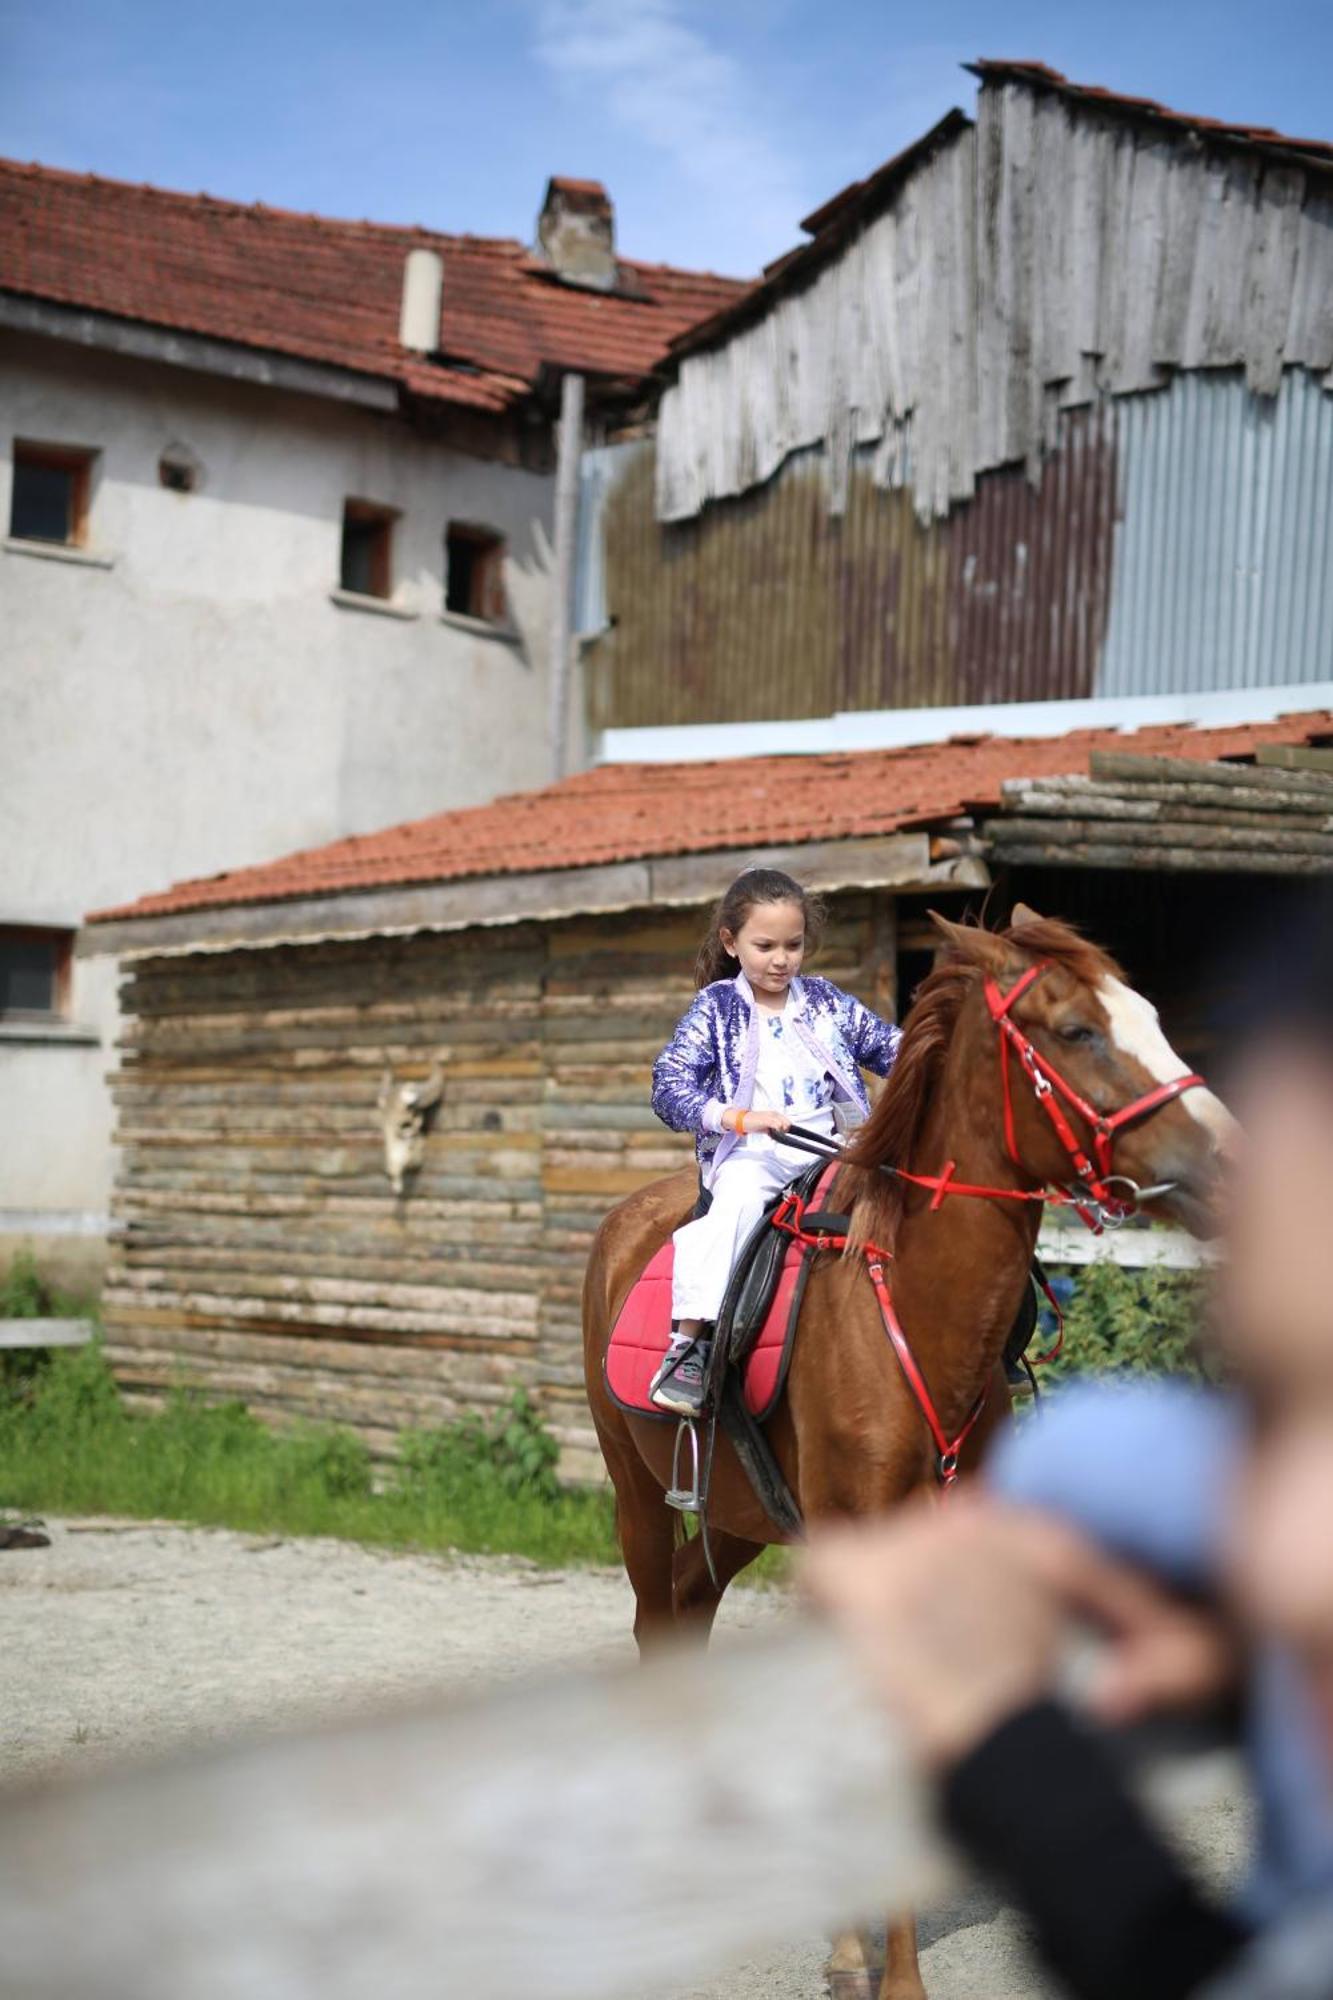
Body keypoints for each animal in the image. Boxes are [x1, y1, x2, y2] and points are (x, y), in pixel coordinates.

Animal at [588, 912, 1232, 2000]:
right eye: (1075, 1030)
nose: (1225, 1158)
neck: (915, 1307)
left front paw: (859, 1946)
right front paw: (882, 1968)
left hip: (737, 1517)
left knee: (688, 1611)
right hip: (636, 1494)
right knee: (653, 1623)